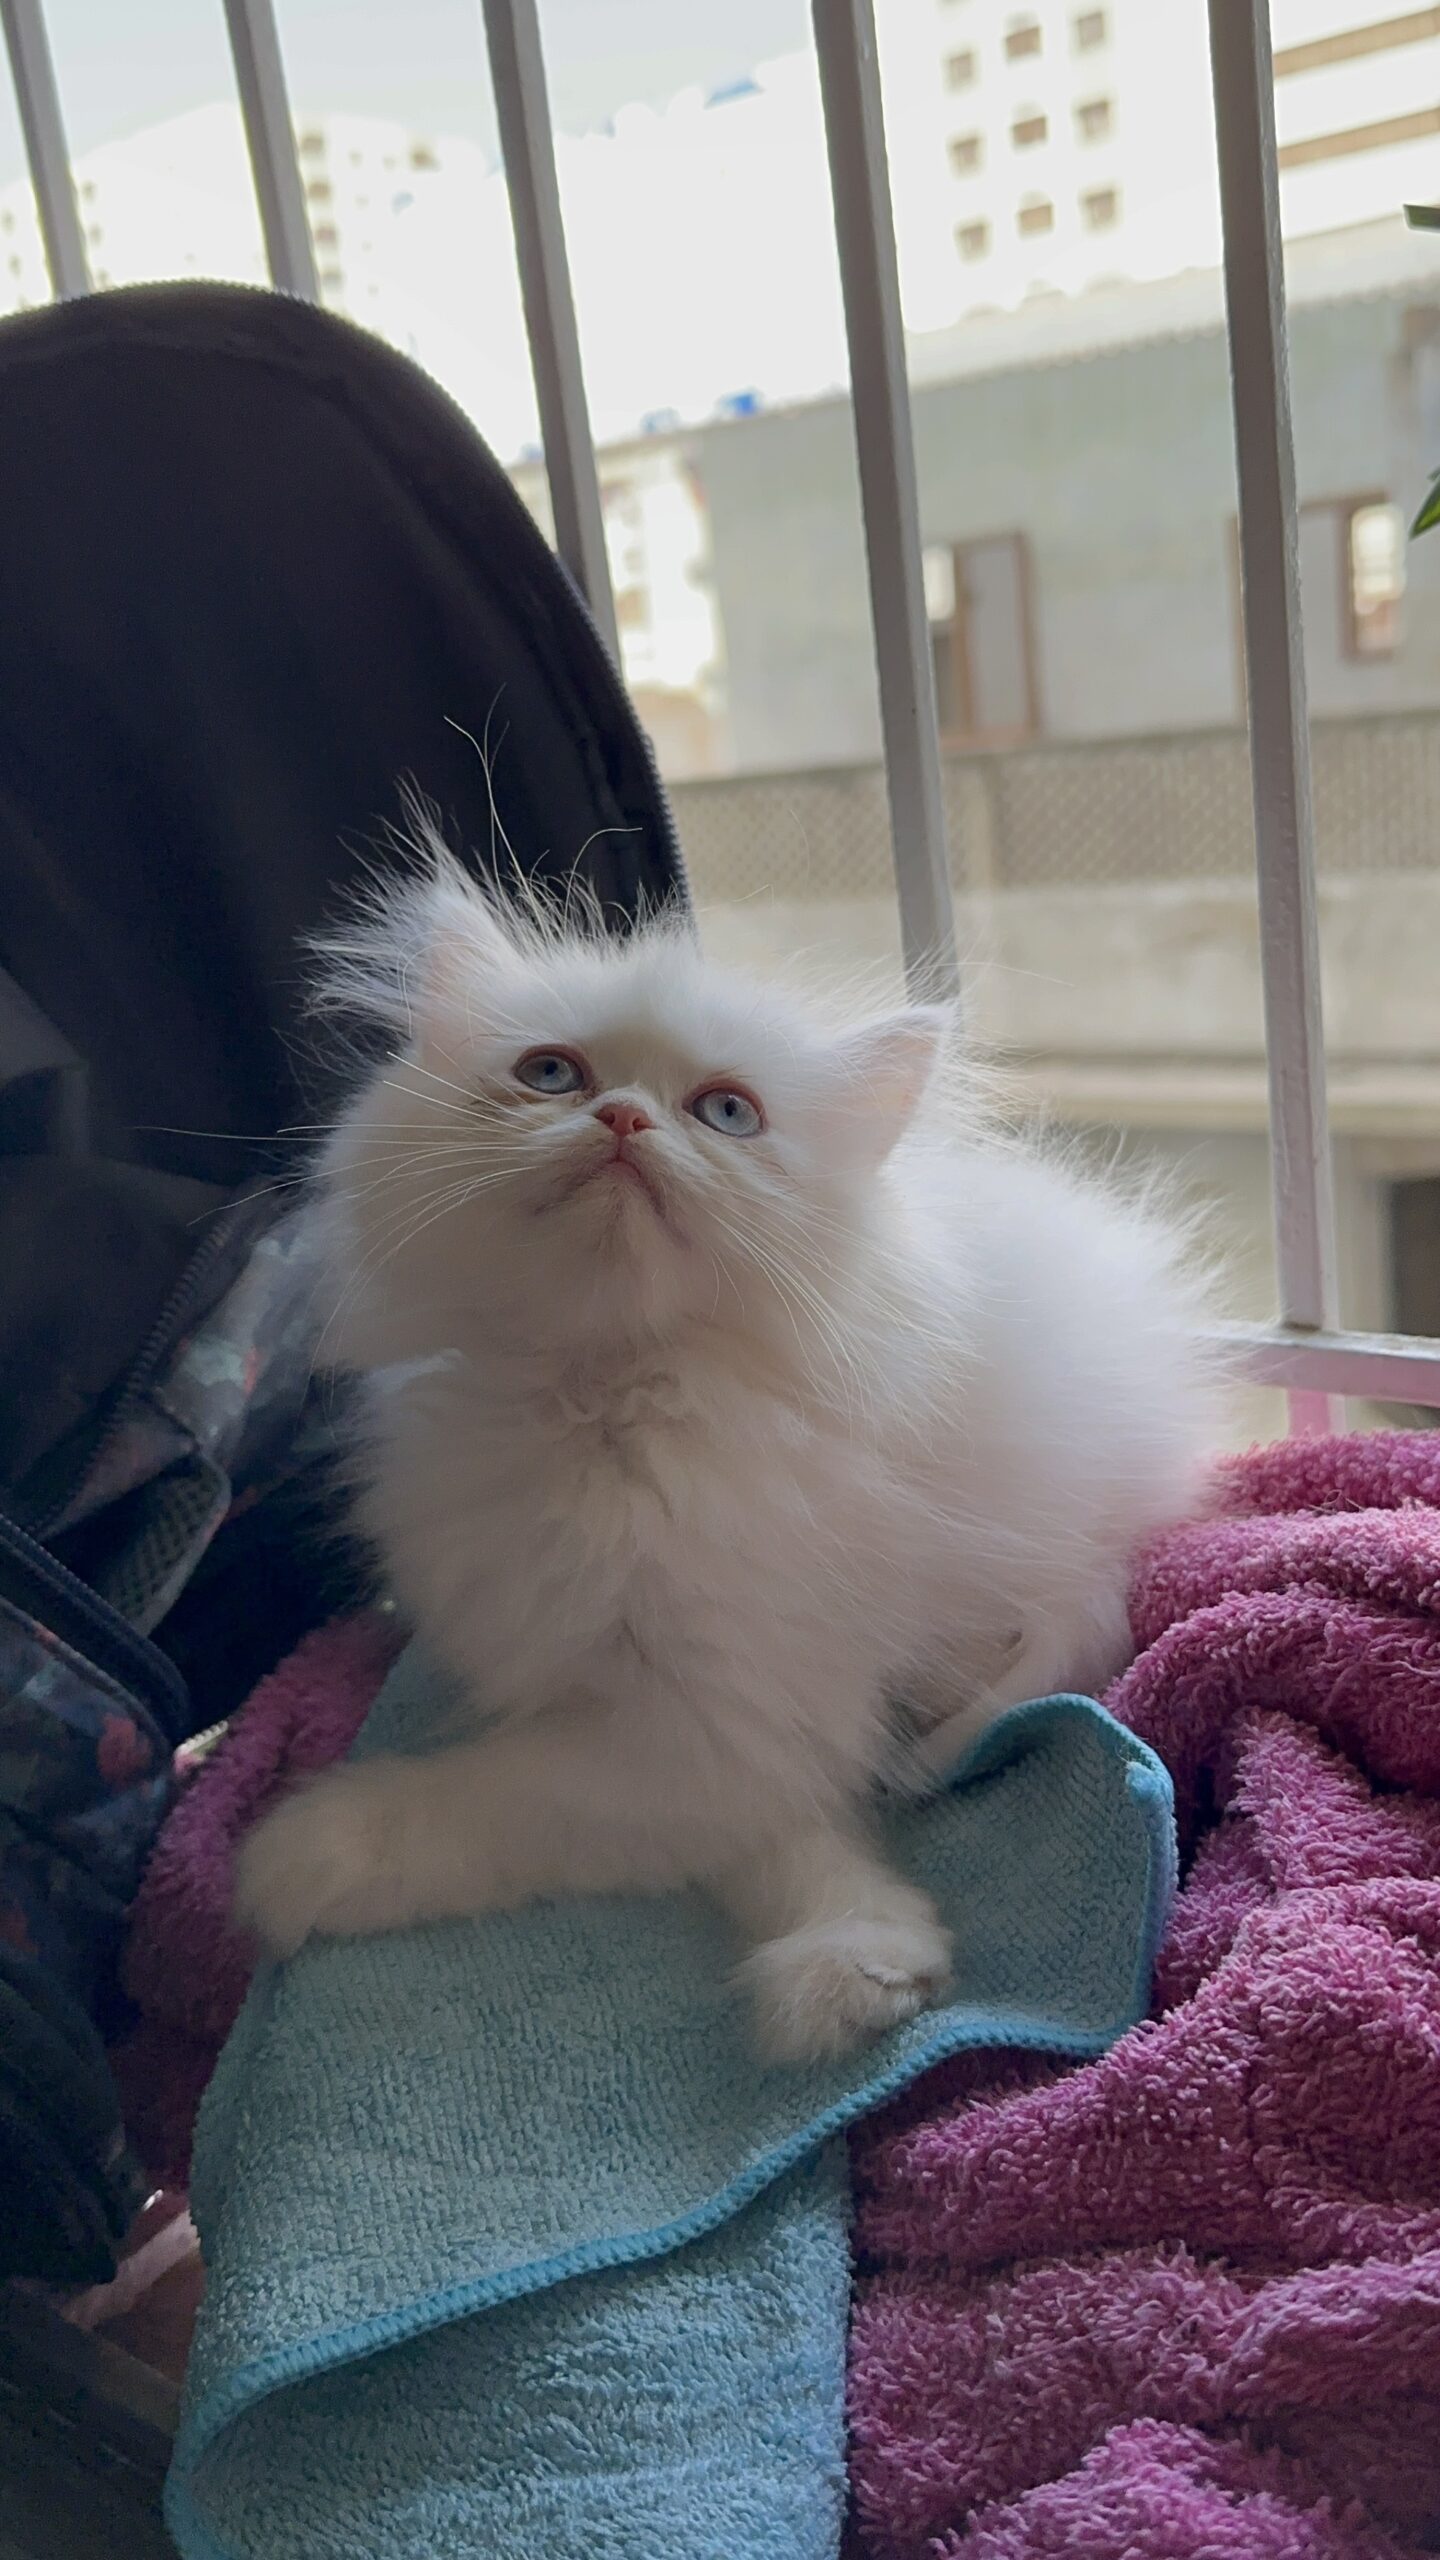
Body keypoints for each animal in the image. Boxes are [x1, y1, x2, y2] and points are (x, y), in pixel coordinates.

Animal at [235, 855, 1217, 2060]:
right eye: (551, 1073)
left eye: (728, 1113)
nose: (619, 1118)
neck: (609, 1404)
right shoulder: (716, 1737)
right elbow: (777, 1846)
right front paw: (869, 1961)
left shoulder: (713, 1727)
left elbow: (488, 1794)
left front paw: (302, 1853)